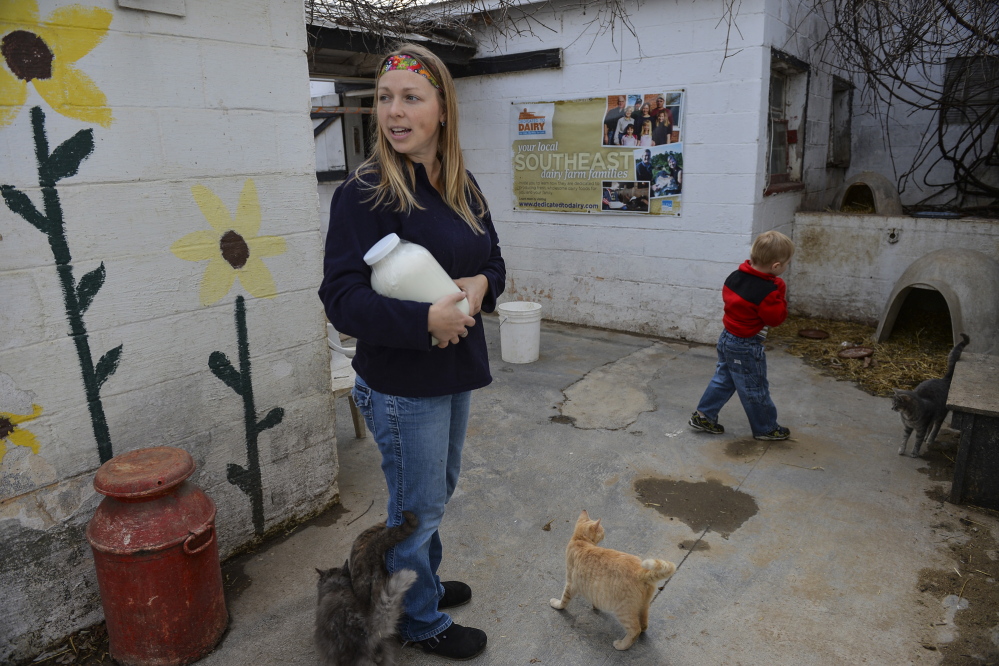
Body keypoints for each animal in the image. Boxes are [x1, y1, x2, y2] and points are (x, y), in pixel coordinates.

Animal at [552, 508, 676, 648]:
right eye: (602, 530)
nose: (605, 533)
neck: (580, 540)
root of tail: (640, 571)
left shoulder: (570, 583)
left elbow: (563, 600)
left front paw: (557, 605)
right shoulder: (592, 587)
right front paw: (595, 606)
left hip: (623, 611)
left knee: (635, 630)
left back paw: (621, 645)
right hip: (643, 606)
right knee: (643, 625)